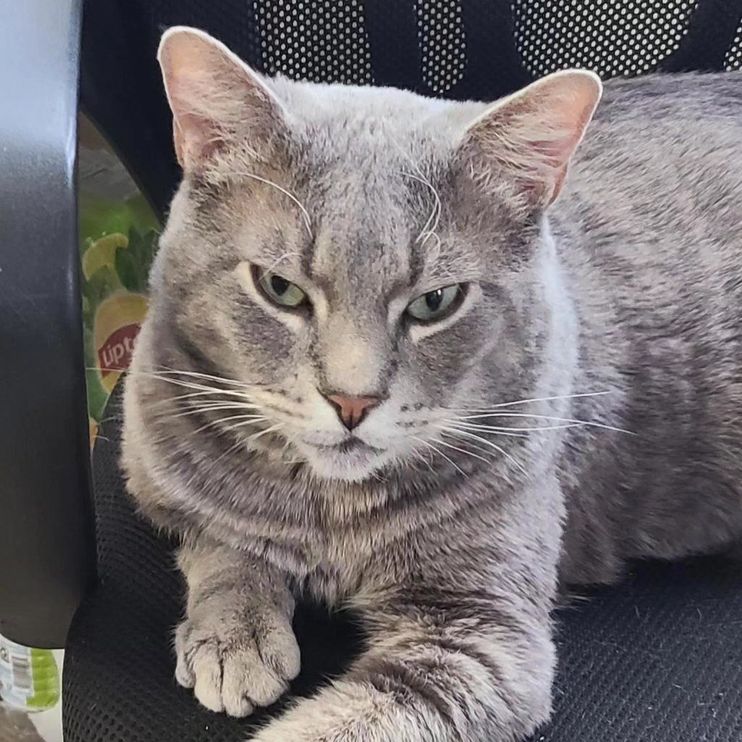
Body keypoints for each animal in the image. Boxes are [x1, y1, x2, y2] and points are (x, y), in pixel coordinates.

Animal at [123, 24, 742, 742]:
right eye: (280, 288)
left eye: (435, 302)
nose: (352, 399)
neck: (328, 510)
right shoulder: (155, 474)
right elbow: (221, 536)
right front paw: (233, 632)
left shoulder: (480, 639)